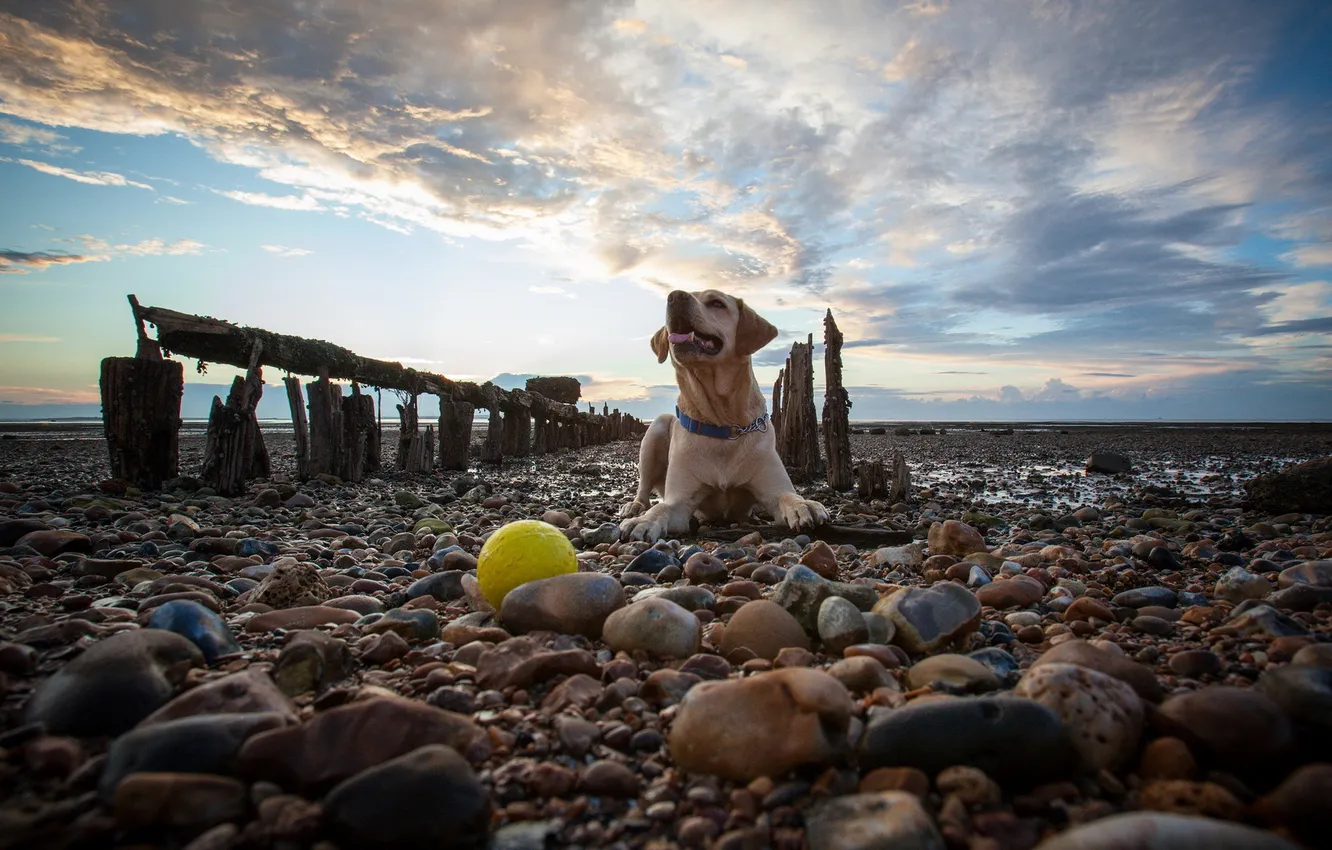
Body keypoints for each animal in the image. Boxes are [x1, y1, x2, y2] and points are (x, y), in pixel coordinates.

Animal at [618, 290, 825, 543]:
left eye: (716, 303)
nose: (675, 296)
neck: (722, 423)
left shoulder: (774, 489)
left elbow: (787, 496)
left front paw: (805, 504)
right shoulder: (680, 502)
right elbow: (662, 507)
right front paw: (644, 521)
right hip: (656, 428)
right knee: (644, 488)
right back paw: (635, 507)